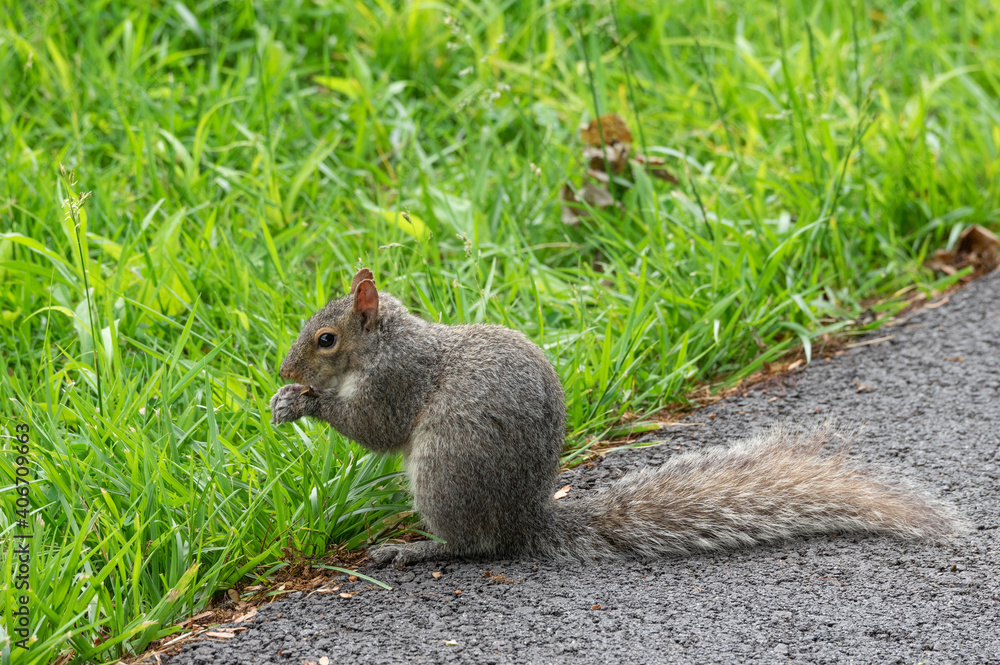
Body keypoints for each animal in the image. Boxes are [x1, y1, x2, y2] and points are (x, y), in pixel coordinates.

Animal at [270, 268, 965, 568]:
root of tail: (528, 519)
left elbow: (376, 427)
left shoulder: (398, 379)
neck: (388, 340)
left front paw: (305, 403)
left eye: (325, 339)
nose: (281, 370)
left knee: (475, 547)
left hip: (445, 475)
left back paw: (416, 550)